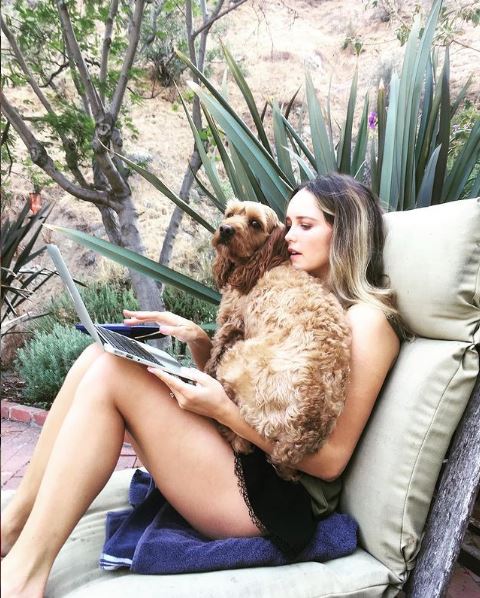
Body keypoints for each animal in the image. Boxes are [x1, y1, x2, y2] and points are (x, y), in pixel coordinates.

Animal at [205, 200, 351, 480]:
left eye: (255, 223)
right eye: (230, 214)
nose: (225, 229)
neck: (267, 261)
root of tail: (302, 434)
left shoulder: (231, 323)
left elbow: (214, 352)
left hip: (238, 360)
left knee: (241, 439)